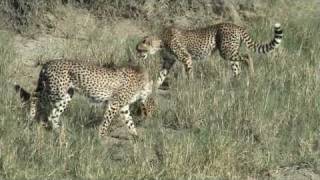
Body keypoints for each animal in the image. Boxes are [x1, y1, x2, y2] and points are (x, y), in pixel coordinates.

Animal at [14, 59, 154, 139]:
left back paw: (60, 132)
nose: (150, 115)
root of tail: (48, 62)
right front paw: (100, 137)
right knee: (35, 96)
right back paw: (31, 115)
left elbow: (130, 123)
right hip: (56, 91)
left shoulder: (123, 107)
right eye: (151, 106)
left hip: (67, 95)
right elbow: (106, 122)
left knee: (53, 114)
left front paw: (136, 137)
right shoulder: (114, 104)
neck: (142, 82)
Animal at [136, 22, 284, 88]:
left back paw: (251, 75)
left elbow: (189, 73)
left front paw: (190, 87)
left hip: (226, 52)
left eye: (139, 49)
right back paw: (235, 83)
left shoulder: (186, 58)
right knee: (237, 68)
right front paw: (154, 88)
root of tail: (235, 25)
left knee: (247, 57)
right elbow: (160, 76)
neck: (161, 41)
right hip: (230, 53)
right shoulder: (168, 61)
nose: (137, 55)